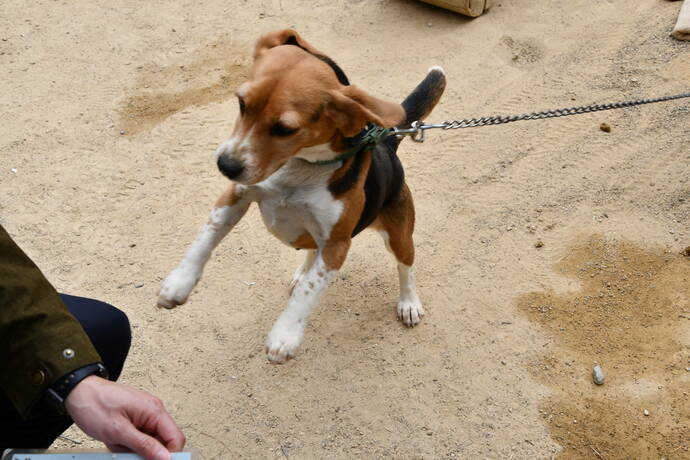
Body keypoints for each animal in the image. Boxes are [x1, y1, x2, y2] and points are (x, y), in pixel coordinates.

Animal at [157, 30, 446, 364]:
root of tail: (386, 142)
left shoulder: (336, 246)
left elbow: (309, 293)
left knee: (405, 267)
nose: (226, 166)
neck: (298, 167)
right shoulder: (234, 197)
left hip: (399, 235)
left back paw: (408, 302)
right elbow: (205, 237)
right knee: (309, 252)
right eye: (241, 103)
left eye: (285, 129)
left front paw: (285, 335)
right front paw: (179, 282)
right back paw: (301, 272)